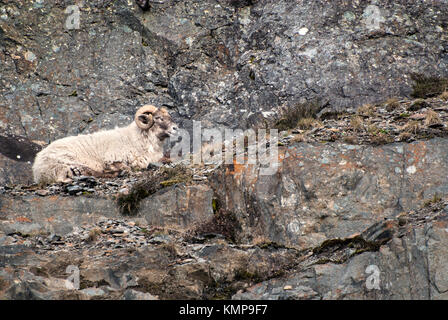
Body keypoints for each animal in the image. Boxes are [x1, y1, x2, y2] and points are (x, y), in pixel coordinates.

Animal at [32, 104, 177, 184]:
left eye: (169, 116)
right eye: (158, 118)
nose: (176, 128)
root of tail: (36, 166)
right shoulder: (112, 158)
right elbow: (125, 167)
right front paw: (119, 170)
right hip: (66, 162)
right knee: (91, 172)